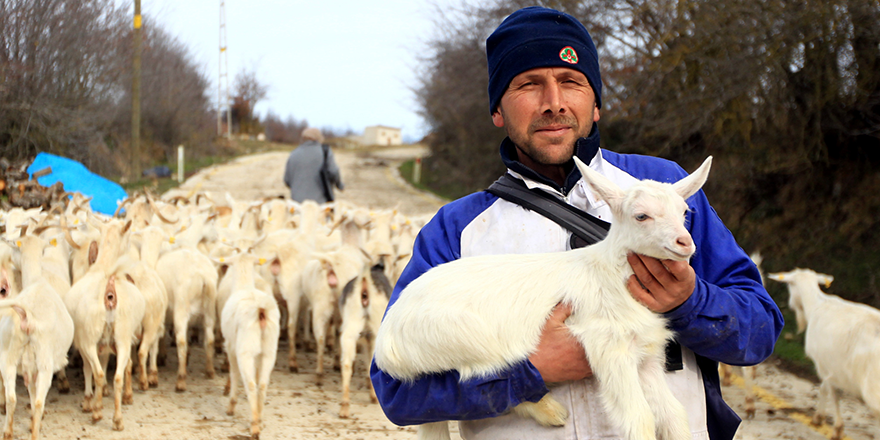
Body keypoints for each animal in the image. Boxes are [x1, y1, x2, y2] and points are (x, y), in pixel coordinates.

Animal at [768, 266, 876, 438]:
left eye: (789, 285)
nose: (790, 305)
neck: (815, 304)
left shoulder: (825, 365)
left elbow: (830, 392)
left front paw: (831, 425)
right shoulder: (829, 365)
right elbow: (828, 390)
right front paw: (822, 418)